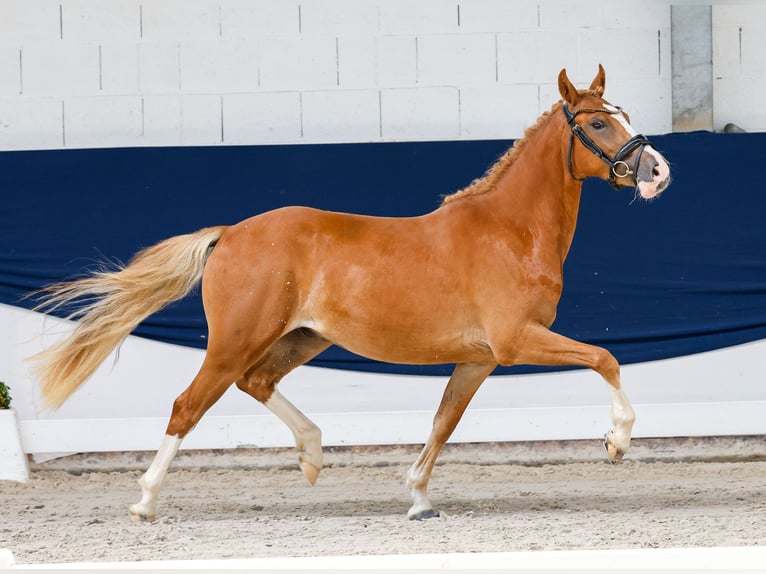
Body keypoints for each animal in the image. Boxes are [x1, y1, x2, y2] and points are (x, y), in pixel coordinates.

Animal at [30, 66, 671, 522]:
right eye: (596, 124)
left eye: (622, 114)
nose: (658, 172)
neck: (510, 232)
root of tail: (231, 232)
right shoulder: (517, 342)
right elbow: (605, 358)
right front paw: (616, 441)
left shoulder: (479, 358)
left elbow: (444, 421)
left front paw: (418, 500)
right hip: (237, 339)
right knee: (189, 404)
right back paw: (145, 501)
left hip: (301, 339)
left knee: (255, 383)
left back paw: (312, 456)